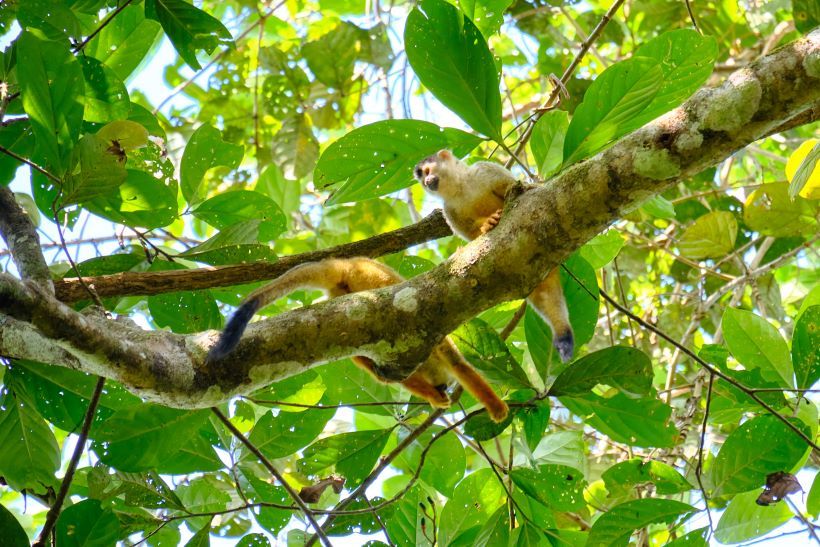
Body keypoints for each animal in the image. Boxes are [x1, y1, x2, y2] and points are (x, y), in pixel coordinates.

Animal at [207, 257, 509, 422]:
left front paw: (436, 396)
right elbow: (461, 368)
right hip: (370, 276)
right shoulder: (437, 339)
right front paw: (496, 408)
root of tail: (346, 262)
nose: (441, 387)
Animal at [414, 149, 574, 363]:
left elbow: (514, 187)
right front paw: (486, 224)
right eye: (422, 179)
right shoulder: (448, 211)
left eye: (427, 171)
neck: (460, 187)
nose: (427, 181)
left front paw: (528, 188)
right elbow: (472, 235)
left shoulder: (485, 169)